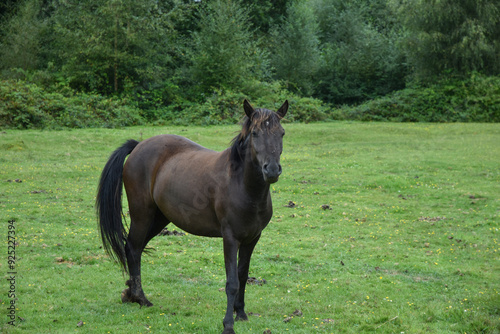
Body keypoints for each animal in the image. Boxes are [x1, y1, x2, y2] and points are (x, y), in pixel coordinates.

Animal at [95, 100, 288, 334]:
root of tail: (139, 146)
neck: (241, 185)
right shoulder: (230, 238)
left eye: (281, 133)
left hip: (160, 218)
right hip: (142, 214)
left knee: (135, 249)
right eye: (255, 133)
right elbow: (232, 281)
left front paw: (241, 313)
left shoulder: (252, 238)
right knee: (132, 248)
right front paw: (228, 324)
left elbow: (242, 275)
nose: (272, 170)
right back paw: (141, 299)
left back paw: (130, 294)